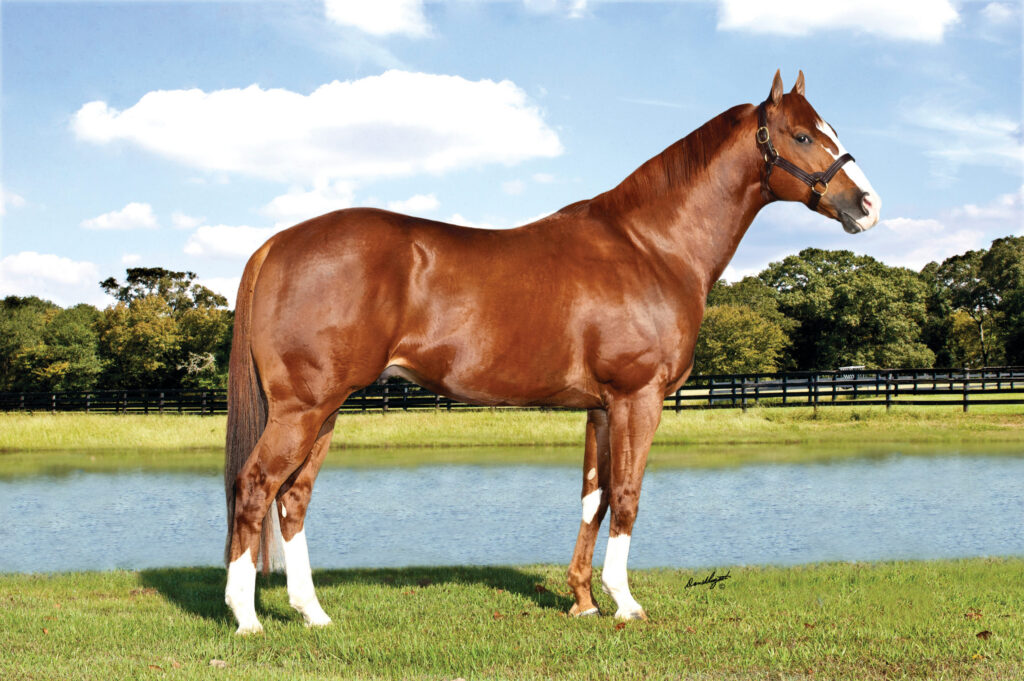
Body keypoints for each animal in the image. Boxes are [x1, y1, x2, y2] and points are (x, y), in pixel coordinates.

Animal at [223, 70, 881, 634]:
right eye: (803, 135)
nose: (868, 206)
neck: (650, 246)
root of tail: (277, 243)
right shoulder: (638, 398)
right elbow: (628, 495)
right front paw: (625, 603)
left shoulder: (600, 407)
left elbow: (594, 498)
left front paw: (584, 601)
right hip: (303, 408)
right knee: (255, 486)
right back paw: (247, 618)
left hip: (326, 409)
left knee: (293, 498)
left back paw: (313, 613)